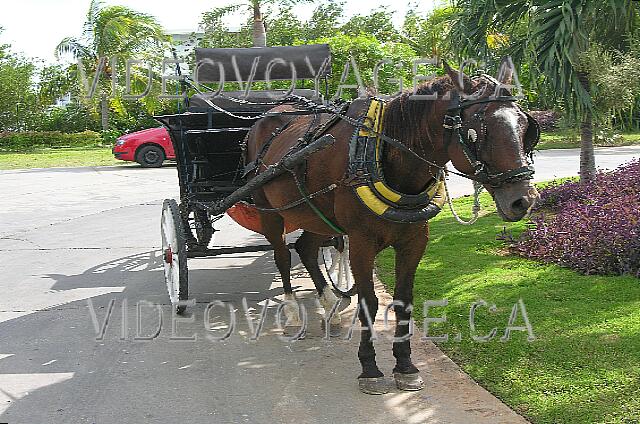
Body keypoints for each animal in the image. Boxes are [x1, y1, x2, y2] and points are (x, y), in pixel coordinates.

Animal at [245, 60, 540, 394]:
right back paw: (294, 311)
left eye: (525, 127)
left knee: (305, 249)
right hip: (269, 210)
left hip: (315, 214)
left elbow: (403, 300)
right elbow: (369, 302)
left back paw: (331, 304)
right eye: (478, 132)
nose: (524, 200)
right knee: (282, 255)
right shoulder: (361, 241)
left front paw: (405, 365)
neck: (384, 154)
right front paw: (370, 368)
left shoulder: (415, 239)